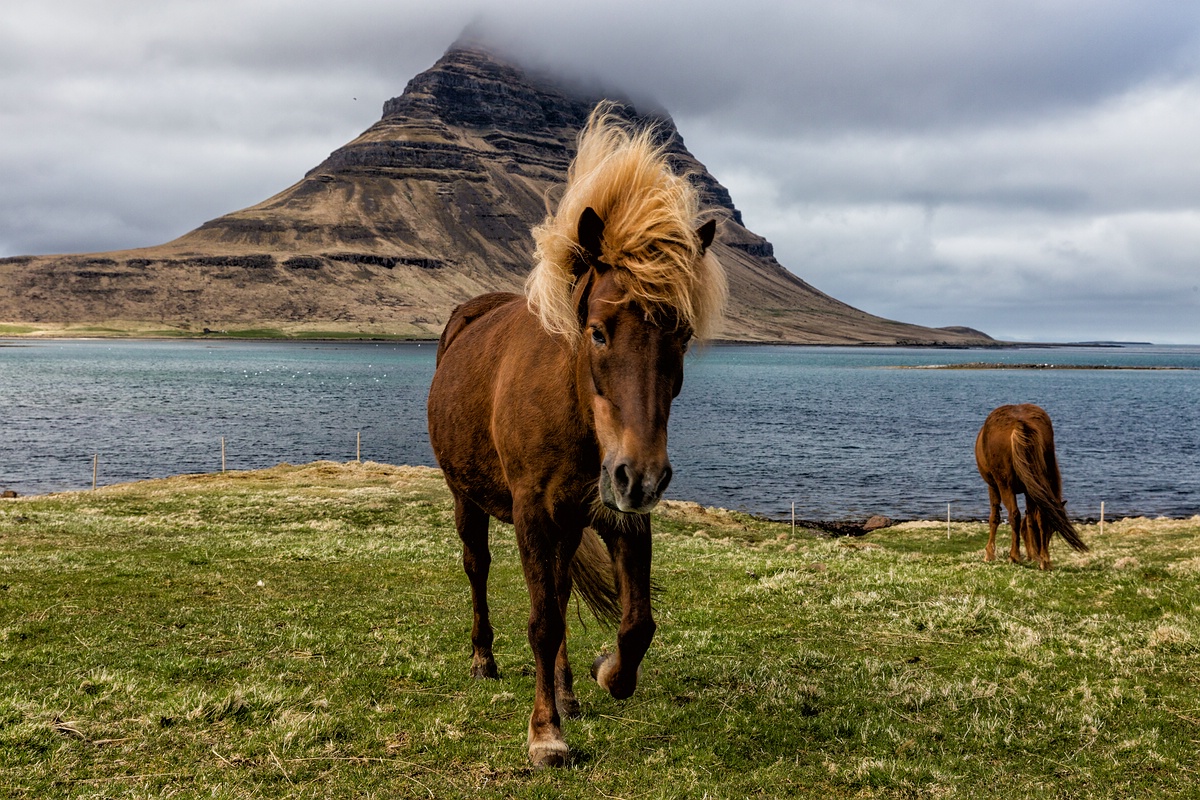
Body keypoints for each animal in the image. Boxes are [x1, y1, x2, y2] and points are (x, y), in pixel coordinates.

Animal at [427, 103, 724, 767]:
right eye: (597, 330)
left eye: (682, 333)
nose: (642, 476)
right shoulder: (535, 512)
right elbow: (542, 621)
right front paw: (545, 735)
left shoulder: (617, 515)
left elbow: (635, 623)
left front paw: (604, 673)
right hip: (468, 500)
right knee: (478, 568)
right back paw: (485, 659)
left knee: (562, 592)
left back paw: (566, 691)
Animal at [974, 407, 1089, 568]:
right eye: (1052, 529)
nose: (1038, 552)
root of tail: (1019, 423)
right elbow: (1031, 521)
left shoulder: (993, 486)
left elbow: (994, 518)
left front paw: (989, 554)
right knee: (1038, 517)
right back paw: (1045, 561)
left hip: (1005, 486)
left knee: (1014, 515)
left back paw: (1015, 556)